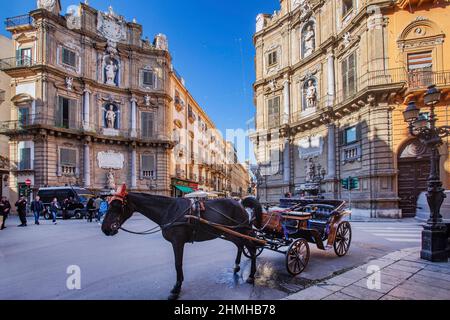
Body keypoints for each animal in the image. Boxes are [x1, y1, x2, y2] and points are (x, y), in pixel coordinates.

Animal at [101, 185, 260, 300]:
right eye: (108, 204)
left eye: (117, 206)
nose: (105, 229)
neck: (169, 210)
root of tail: (240, 203)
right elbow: (178, 264)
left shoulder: (177, 242)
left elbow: (178, 264)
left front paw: (177, 288)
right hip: (230, 232)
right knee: (240, 245)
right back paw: (237, 266)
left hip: (241, 230)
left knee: (252, 248)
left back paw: (251, 275)